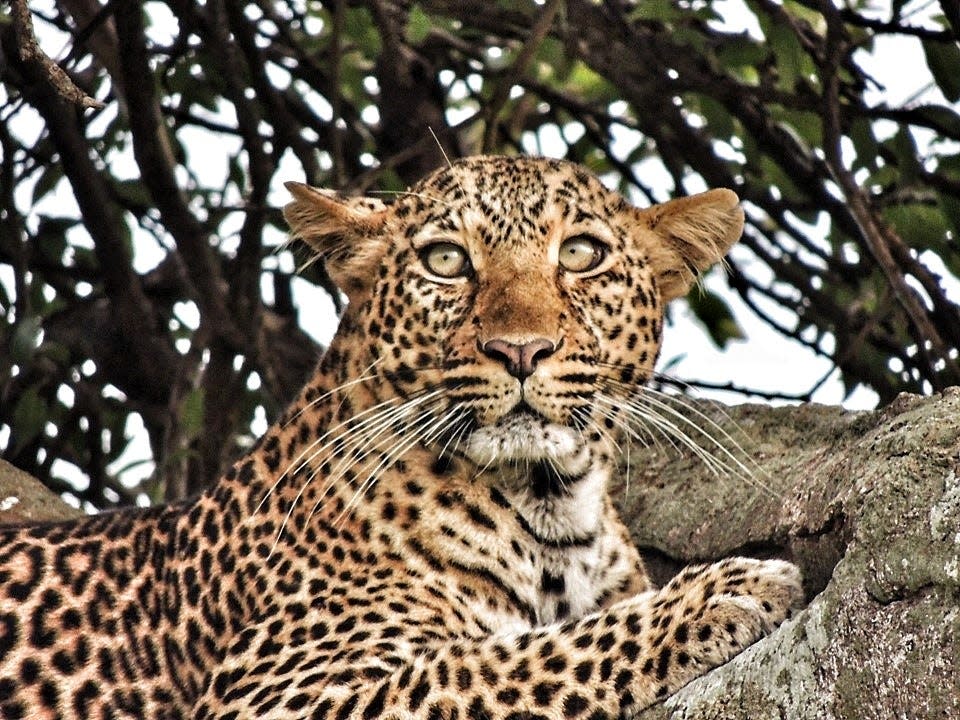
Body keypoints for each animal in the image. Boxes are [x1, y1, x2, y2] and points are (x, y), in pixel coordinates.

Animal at [0, 155, 804, 716]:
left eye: (581, 254)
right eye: (445, 260)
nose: (521, 350)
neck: (552, 515)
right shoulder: (279, 695)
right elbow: (498, 660)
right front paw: (721, 592)